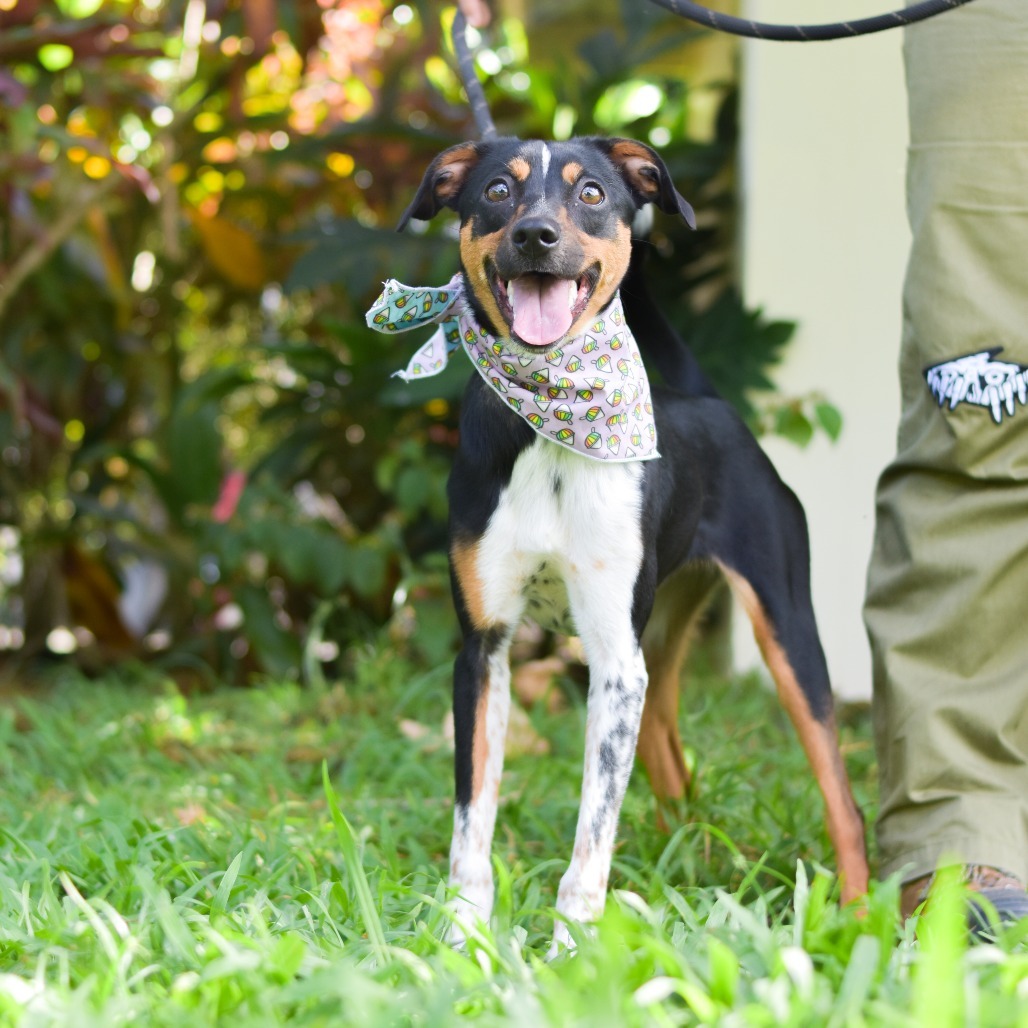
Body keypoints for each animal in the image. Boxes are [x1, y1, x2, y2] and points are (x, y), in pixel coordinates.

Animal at [370, 136, 867, 953]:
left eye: (593, 193)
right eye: (498, 190)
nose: (536, 236)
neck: (552, 417)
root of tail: (714, 405)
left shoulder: (611, 658)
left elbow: (591, 830)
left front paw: (572, 947)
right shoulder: (484, 651)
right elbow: (472, 822)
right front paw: (465, 940)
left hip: (784, 629)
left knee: (842, 795)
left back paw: (856, 917)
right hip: (658, 639)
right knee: (668, 753)